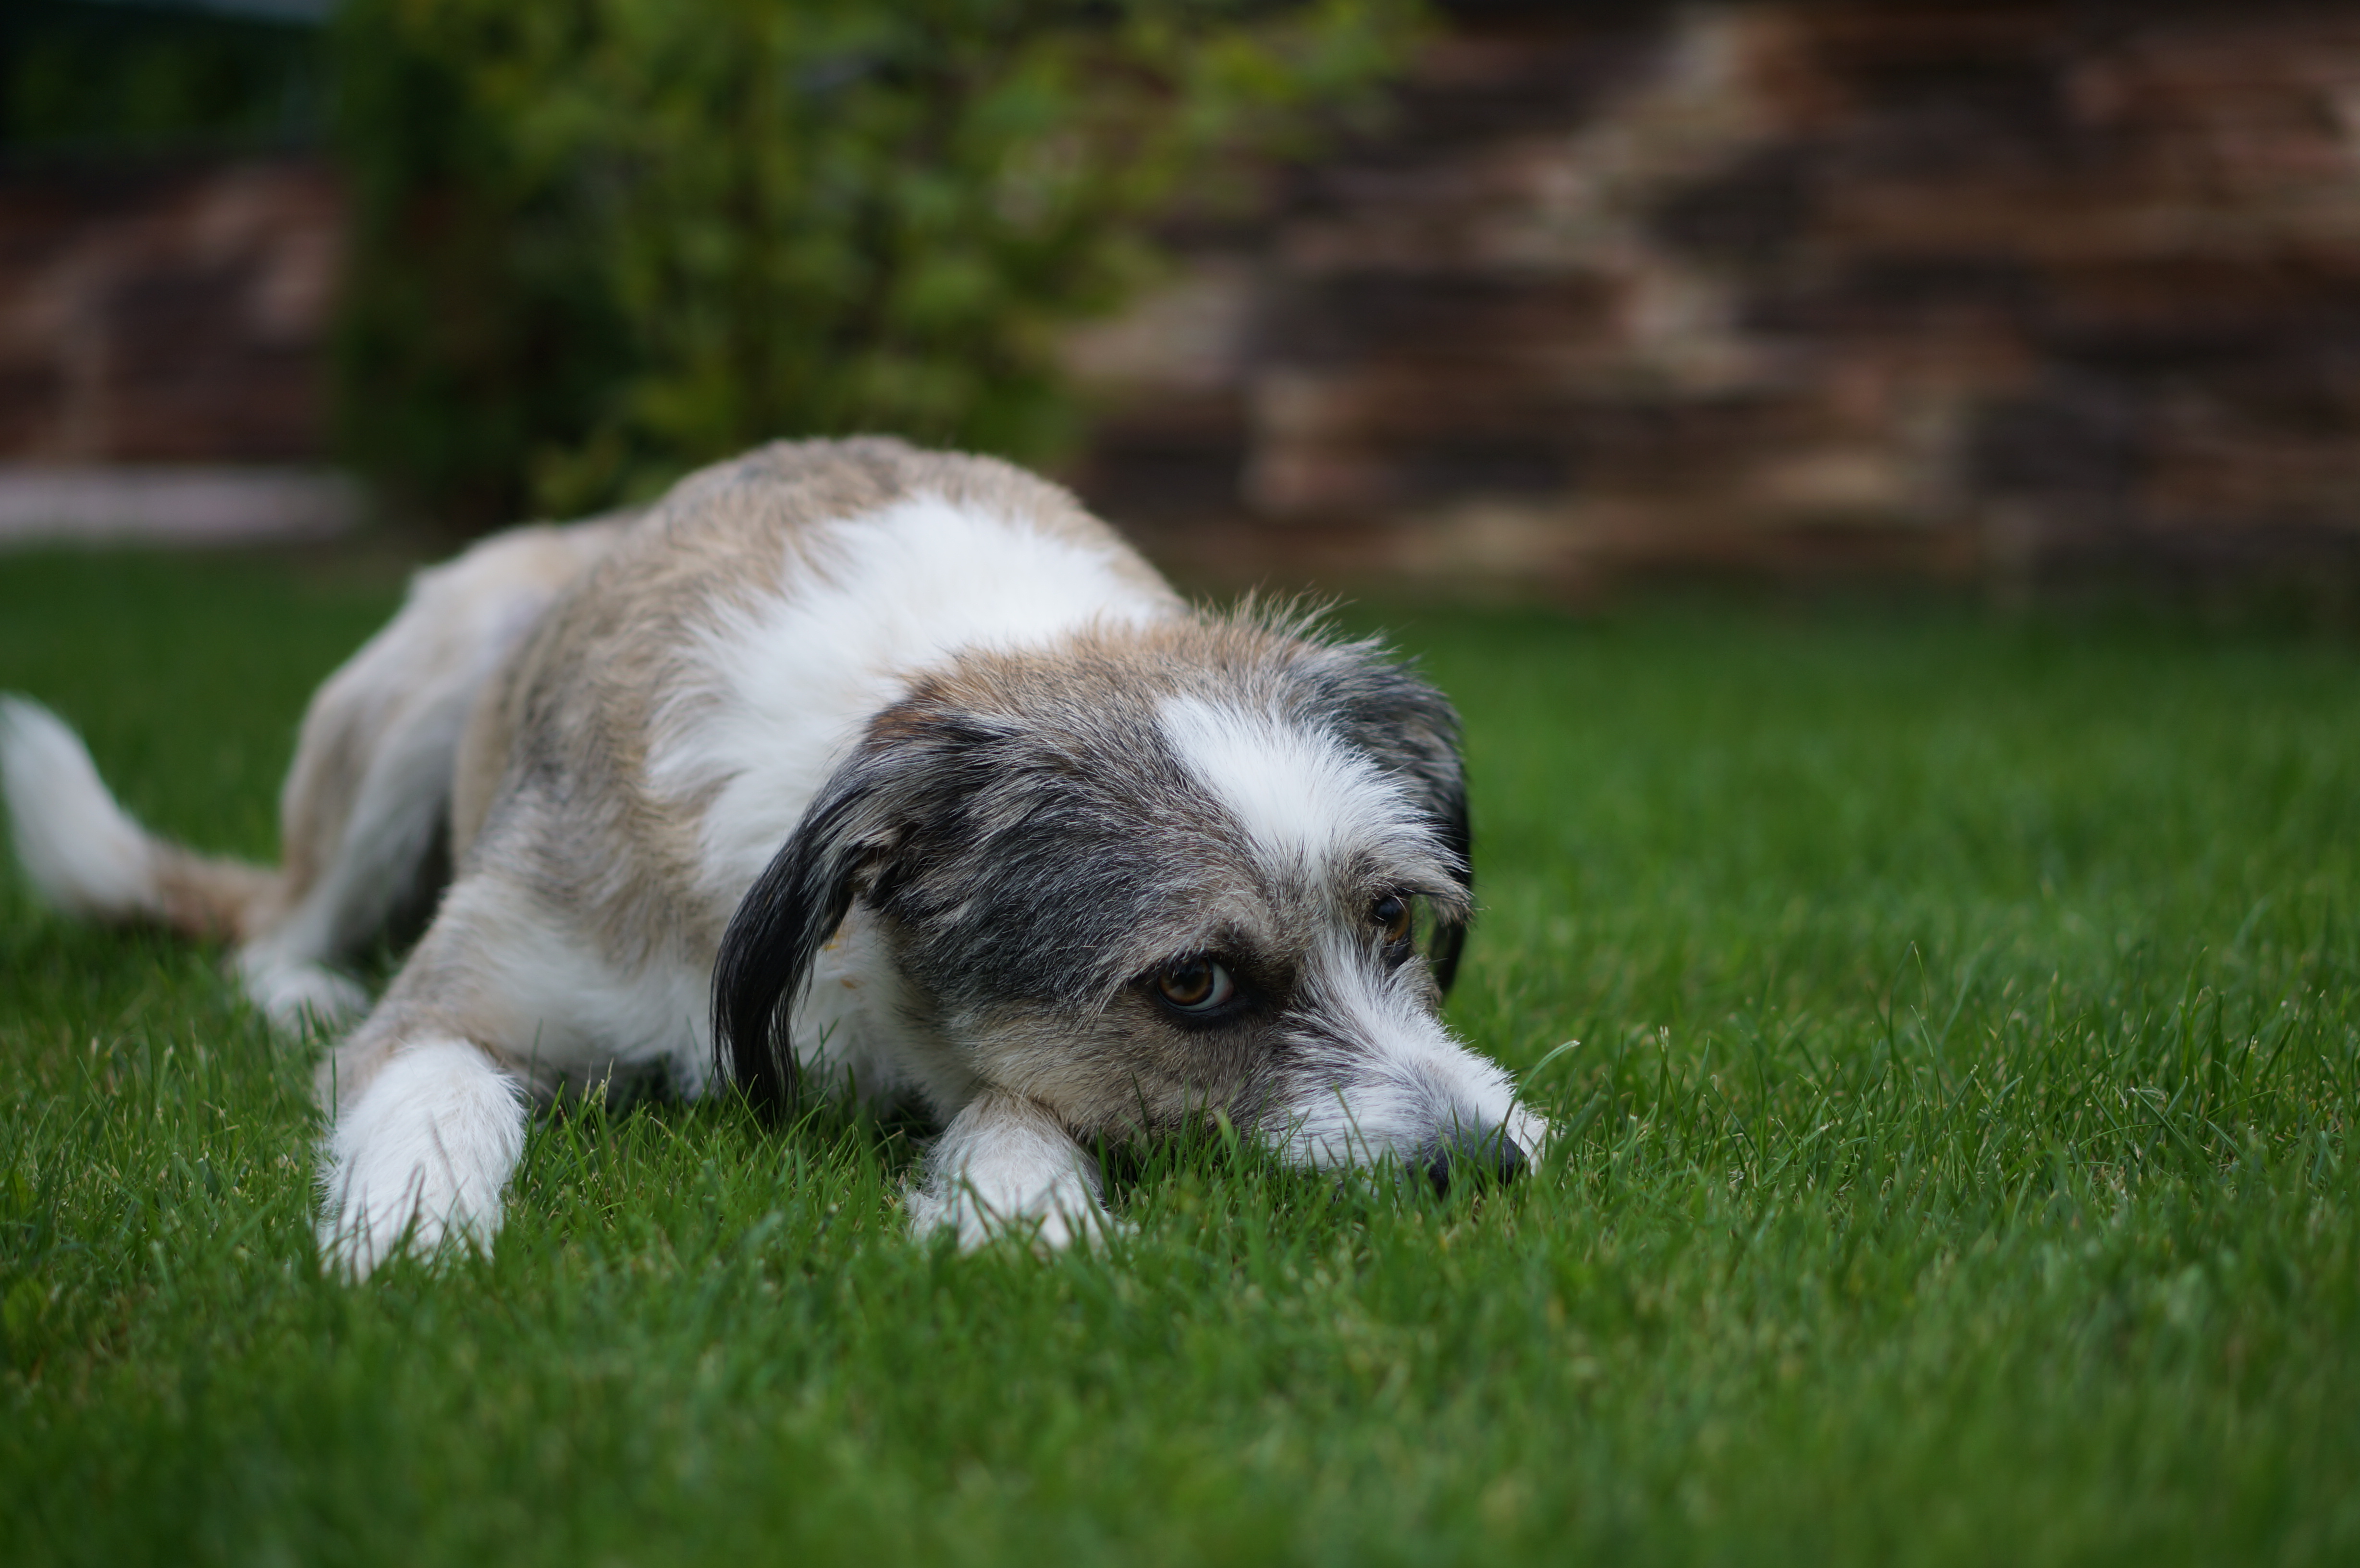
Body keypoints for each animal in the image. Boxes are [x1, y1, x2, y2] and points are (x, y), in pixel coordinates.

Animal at [0, 438, 1544, 1275]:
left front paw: (1022, 1220)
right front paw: (408, 1235)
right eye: (1197, 986)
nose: (1493, 1166)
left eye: (1391, 920)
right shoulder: (462, 1001)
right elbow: (433, 1090)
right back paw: (296, 990)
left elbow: (1017, 1107)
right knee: (278, 929)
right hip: (424, 686)